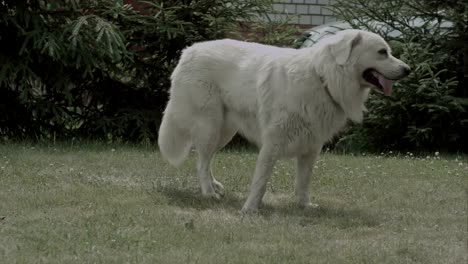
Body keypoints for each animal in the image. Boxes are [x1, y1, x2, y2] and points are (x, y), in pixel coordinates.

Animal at [157, 29, 410, 212]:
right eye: (382, 52)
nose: (407, 70)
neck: (323, 79)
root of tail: (188, 51)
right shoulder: (272, 143)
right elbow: (261, 180)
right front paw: (250, 209)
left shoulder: (311, 147)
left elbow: (303, 182)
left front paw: (304, 206)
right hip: (210, 125)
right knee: (201, 161)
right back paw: (208, 192)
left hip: (224, 131)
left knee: (206, 159)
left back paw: (214, 186)